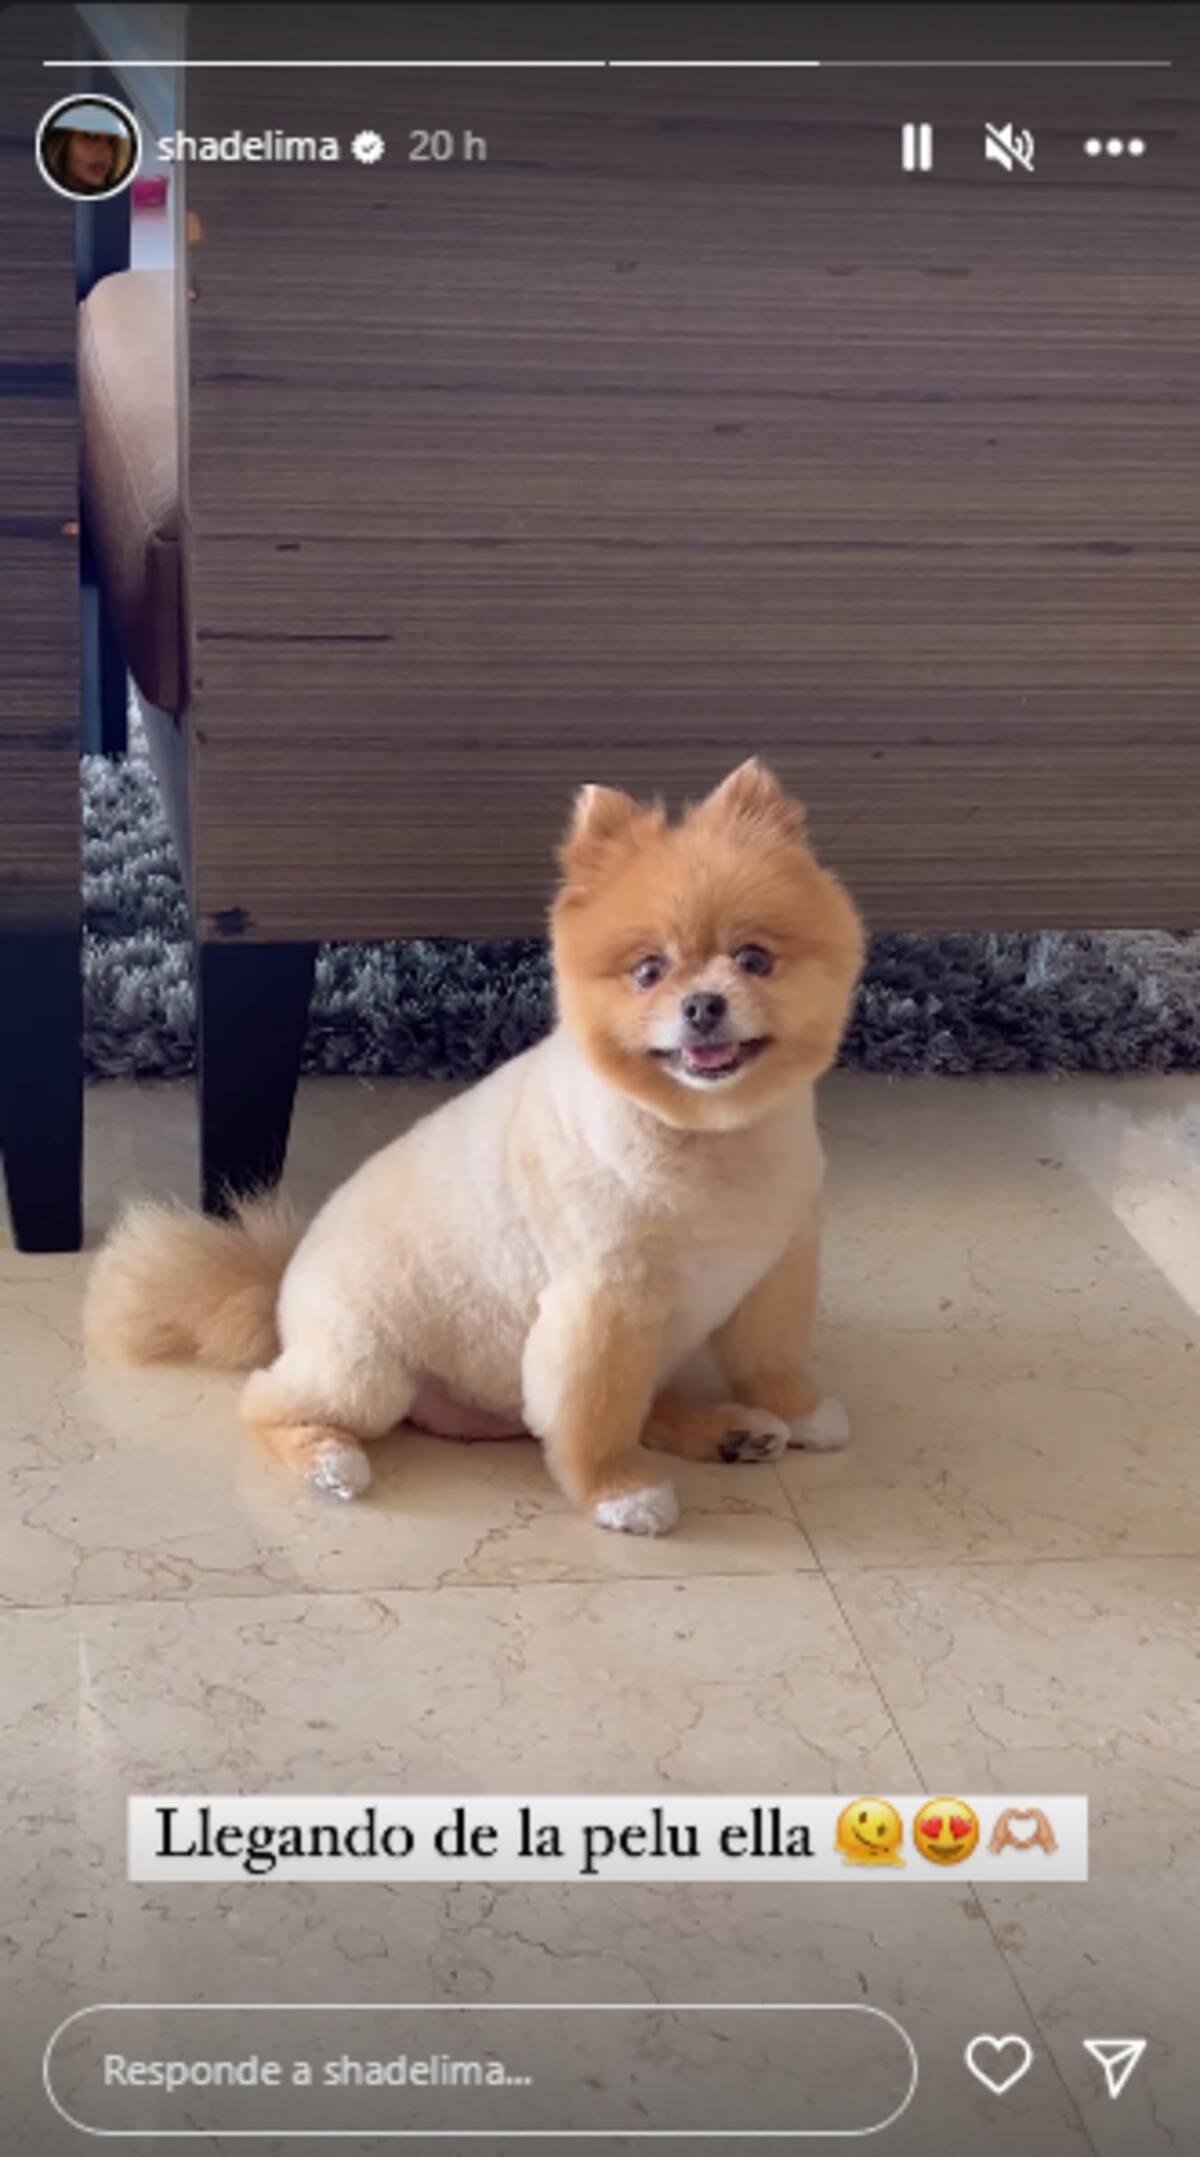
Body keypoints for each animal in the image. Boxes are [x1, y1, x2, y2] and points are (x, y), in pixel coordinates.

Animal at [84, 759, 864, 1537]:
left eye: (754, 959)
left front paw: (799, 1411)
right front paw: (618, 1492)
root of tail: (279, 1292)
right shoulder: (601, 1306)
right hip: (366, 1371)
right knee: (267, 1398)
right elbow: (595, 1414)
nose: (702, 1004)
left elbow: (770, 1358)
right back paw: (329, 1458)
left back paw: (732, 1430)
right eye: (648, 971)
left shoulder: (775, 1271)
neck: (707, 1136)